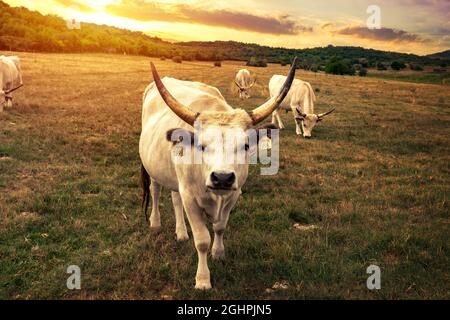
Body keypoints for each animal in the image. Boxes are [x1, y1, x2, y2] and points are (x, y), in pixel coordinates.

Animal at [139, 59, 298, 290]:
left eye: (246, 145)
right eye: (201, 145)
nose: (222, 178)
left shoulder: (233, 194)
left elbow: (220, 227)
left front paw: (219, 253)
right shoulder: (191, 198)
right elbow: (202, 240)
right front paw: (203, 279)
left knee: (175, 198)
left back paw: (181, 232)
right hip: (153, 170)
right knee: (156, 190)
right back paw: (155, 223)